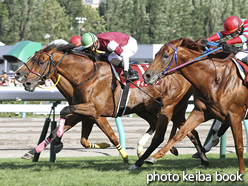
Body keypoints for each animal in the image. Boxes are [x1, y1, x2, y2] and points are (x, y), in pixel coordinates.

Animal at [18, 44, 205, 165]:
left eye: (41, 62)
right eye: (31, 58)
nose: (24, 80)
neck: (85, 75)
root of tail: (181, 72)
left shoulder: (95, 111)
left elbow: (111, 135)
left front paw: (124, 156)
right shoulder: (83, 113)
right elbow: (70, 134)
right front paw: (32, 151)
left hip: (169, 107)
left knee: (185, 130)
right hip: (146, 108)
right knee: (183, 129)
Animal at [140, 37, 247, 174]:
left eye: (165, 55)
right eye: (155, 54)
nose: (146, 76)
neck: (217, 80)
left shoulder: (235, 115)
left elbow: (239, 146)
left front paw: (242, 172)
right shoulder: (200, 112)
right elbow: (181, 133)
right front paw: (153, 157)